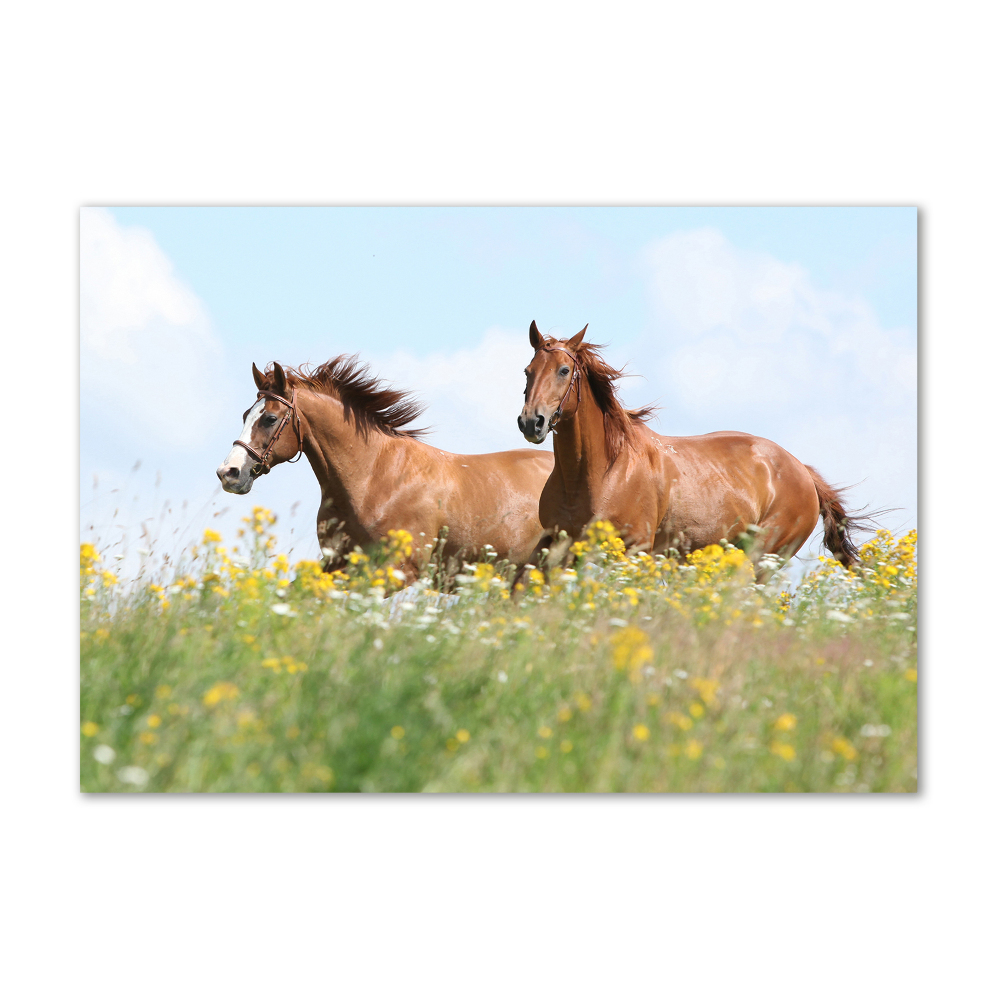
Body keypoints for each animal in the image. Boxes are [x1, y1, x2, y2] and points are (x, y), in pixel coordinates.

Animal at [218, 356, 556, 584]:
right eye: (246, 415)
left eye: (269, 419)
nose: (229, 473)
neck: (374, 478)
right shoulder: (337, 562)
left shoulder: (399, 570)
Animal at [516, 320, 868, 572]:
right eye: (528, 371)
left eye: (564, 371)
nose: (531, 422)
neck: (599, 472)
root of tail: (804, 472)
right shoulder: (556, 544)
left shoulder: (633, 547)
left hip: (763, 558)